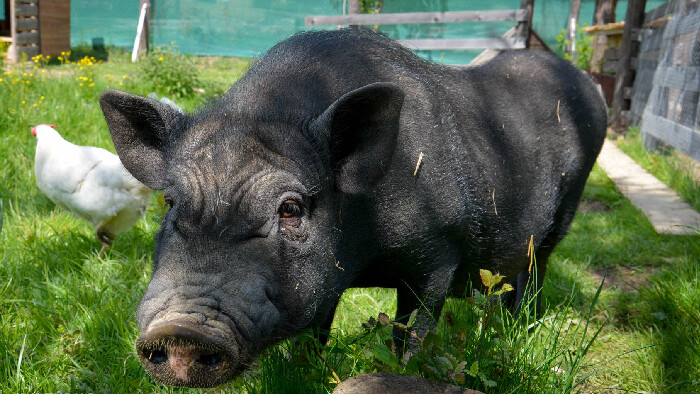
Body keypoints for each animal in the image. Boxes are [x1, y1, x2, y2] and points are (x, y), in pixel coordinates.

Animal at [98, 28, 608, 388]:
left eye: (290, 208)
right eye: (170, 201)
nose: (181, 329)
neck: (368, 256)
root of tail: (588, 83)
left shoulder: (440, 252)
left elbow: (414, 330)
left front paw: (405, 371)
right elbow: (317, 329)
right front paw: (303, 369)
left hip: (567, 207)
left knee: (537, 268)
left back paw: (520, 324)